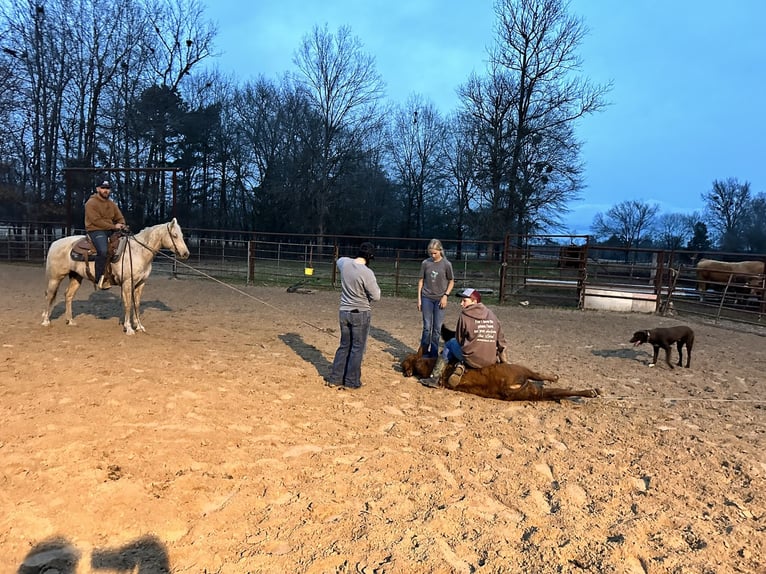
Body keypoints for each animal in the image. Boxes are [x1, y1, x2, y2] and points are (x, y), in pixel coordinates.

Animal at [42, 220, 192, 338]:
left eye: (182, 235)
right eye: (174, 235)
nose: (186, 254)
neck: (138, 251)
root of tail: (54, 243)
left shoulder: (141, 283)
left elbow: (137, 304)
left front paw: (139, 326)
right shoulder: (127, 283)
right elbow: (128, 304)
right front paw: (129, 328)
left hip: (76, 277)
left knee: (68, 295)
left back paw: (70, 321)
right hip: (55, 278)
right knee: (49, 296)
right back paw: (46, 321)